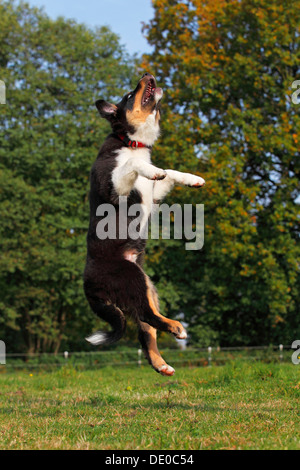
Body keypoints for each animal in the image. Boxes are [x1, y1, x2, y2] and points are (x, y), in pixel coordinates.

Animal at [83, 72, 205, 374]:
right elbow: (133, 166)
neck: (132, 143)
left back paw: (161, 364)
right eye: (129, 96)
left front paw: (193, 178)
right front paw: (151, 169)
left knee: (146, 328)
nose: (147, 74)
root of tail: (88, 286)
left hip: (147, 287)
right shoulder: (112, 188)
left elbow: (169, 172)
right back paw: (177, 328)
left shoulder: (154, 194)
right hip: (132, 279)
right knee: (148, 316)